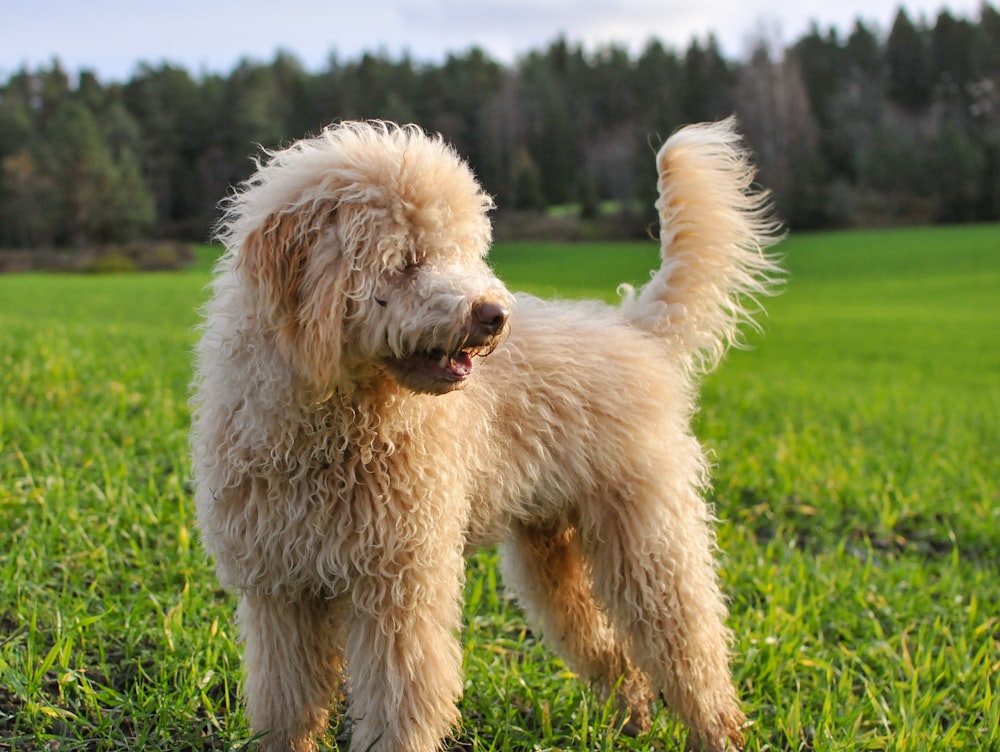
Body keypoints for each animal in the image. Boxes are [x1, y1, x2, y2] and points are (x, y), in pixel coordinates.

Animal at [188, 117, 780, 752]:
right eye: (406, 260)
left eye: (461, 250)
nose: (494, 314)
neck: (336, 430)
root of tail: (633, 328)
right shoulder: (282, 591)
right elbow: (286, 699)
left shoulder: (399, 586)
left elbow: (399, 700)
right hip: (549, 553)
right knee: (610, 649)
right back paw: (632, 718)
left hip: (648, 539)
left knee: (690, 647)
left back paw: (716, 730)